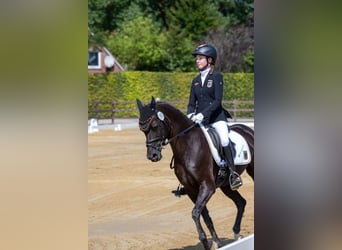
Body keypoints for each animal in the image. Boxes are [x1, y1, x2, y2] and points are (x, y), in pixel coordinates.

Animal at [136, 96, 254, 249]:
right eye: (142, 129)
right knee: (241, 202)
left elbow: (195, 212)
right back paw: (237, 232)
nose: (153, 156)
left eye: (155, 125)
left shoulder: (207, 187)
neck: (188, 146)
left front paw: (205, 240)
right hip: (226, 186)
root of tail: (248, 129)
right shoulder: (192, 189)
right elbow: (204, 215)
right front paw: (215, 242)